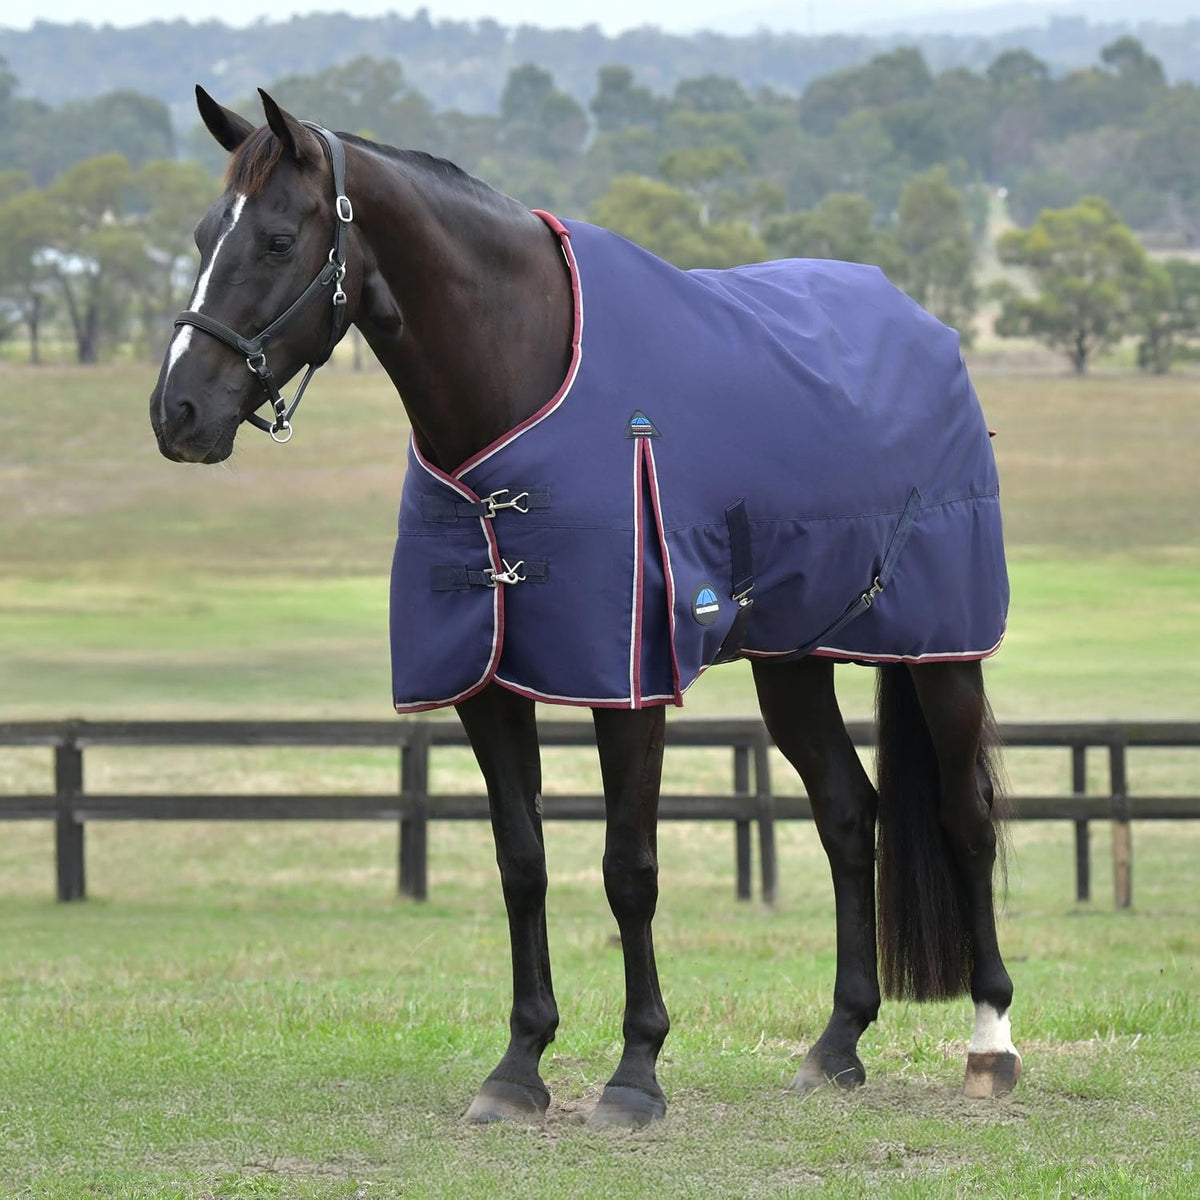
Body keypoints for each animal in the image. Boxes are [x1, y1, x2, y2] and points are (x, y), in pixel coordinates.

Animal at [149, 86, 1020, 1128]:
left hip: (943, 653)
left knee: (967, 817)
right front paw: (518, 1067)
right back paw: (837, 1043)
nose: (176, 413)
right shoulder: (485, 684)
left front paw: (635, 1071)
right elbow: (521, 862)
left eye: (278, 239)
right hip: (793, 662)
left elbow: (627, 869)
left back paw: (991, 1044)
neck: (519, 388)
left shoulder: (627, 683)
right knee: (850, 816)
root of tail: (925, 330)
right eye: (205, 235)